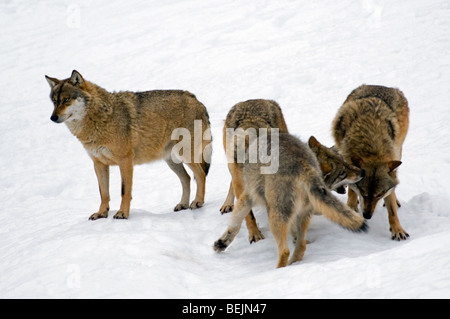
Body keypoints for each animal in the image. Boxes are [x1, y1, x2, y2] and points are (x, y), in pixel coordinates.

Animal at [46, 69, 213, 220]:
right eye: (54, 101)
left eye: (66, 100)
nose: (53, 118)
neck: (100, 119)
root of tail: (198, 101)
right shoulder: (98, 164)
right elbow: (103, 193)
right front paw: (101, 213)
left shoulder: (125, 161)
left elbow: (124, 191)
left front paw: (122, 214)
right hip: (172, 161)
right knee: (187, 178)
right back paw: (183, 204)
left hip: (186, 155)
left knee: (201, 175)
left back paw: (198, 202)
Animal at [214, 131, 366, 268]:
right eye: (343, 172)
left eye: (345, 167)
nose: (362, 172)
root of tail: (304, 163)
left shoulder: (248, 196)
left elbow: (235, 223)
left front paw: (221, 243)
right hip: (301, 215)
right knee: (301, 246)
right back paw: (293, 264)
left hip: (275, 217)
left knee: (284, 251)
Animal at [332, 84, 410, 240]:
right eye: (363, 192)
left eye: (379, 195)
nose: (367, 216)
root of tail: (382, 86)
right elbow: (352, 189)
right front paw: (352, 207)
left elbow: (392, 208)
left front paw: (397, 230)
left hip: (398, 150)